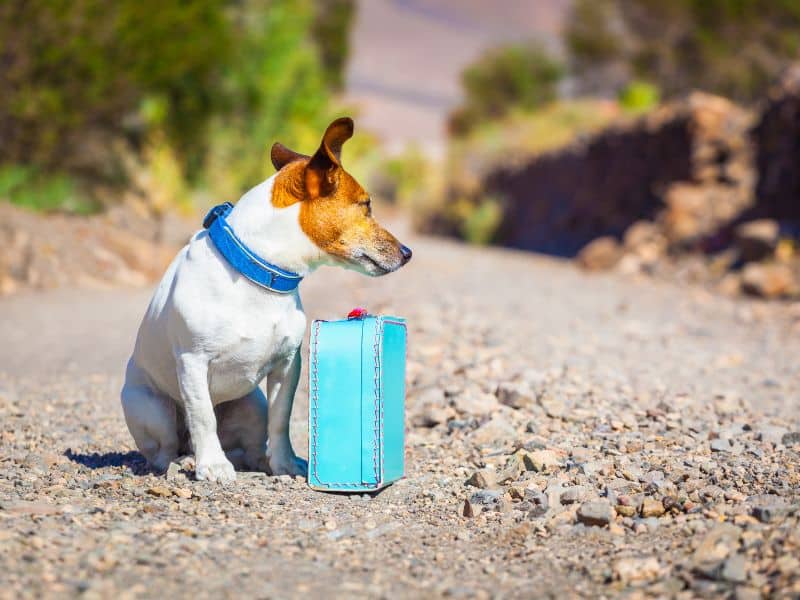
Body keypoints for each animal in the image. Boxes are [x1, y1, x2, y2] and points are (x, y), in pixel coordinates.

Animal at [122, 117, 416, 482]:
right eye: (367, 206)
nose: (408, 253)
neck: (259, 272)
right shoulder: (192, 361)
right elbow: (203, 416)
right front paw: (213, 465)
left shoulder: (287, 365)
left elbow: (281, 419)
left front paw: (285, 464)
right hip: (153, 409)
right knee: (166, 449)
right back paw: (186, 461)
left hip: (252, 406)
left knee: (248, 442)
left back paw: (257, 461)